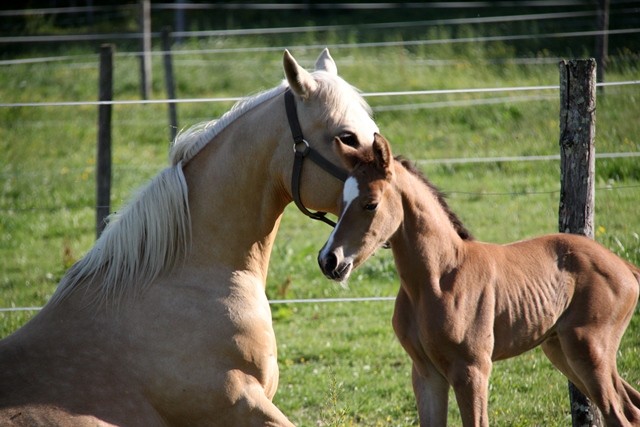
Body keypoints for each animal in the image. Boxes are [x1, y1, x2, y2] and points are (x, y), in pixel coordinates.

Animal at [318, 135, 640, 427]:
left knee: (620, 415)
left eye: (370, 204)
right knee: (631, 409)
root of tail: (623, 265)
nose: (328, 260)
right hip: (561, 349)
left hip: (589, 350)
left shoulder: (472, 370)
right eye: (340, 202)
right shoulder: (425, 373)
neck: (437, 278)